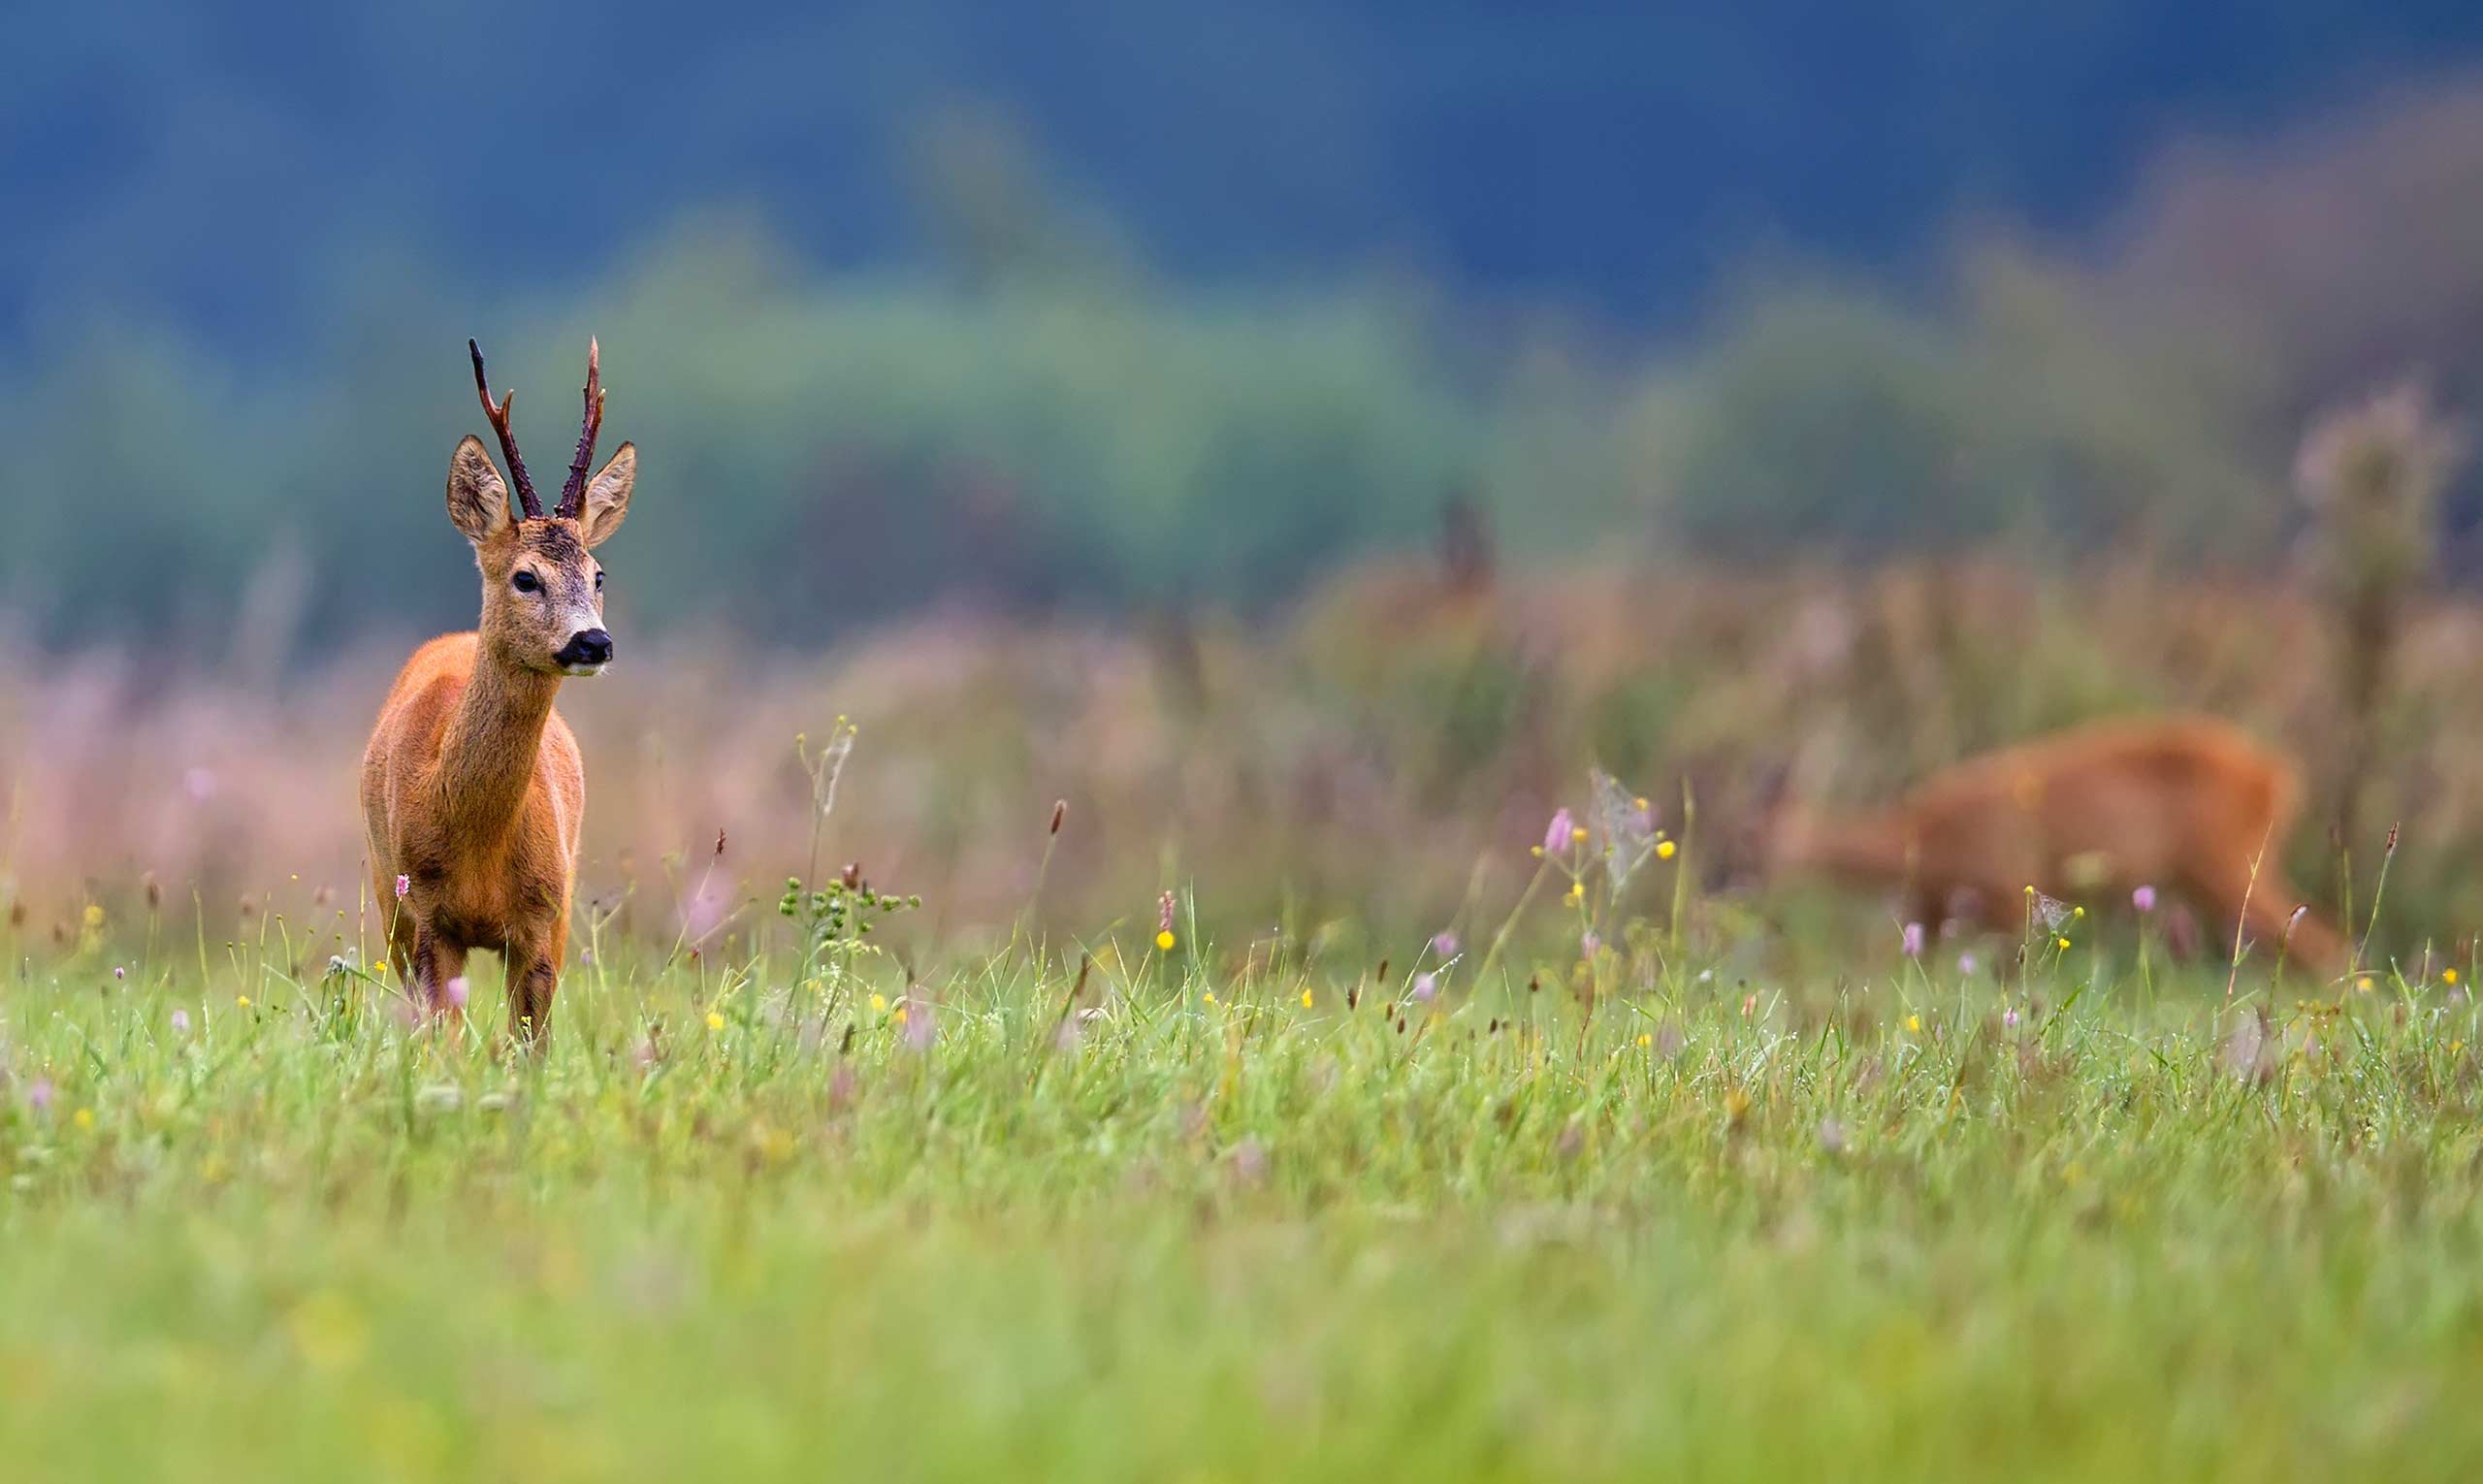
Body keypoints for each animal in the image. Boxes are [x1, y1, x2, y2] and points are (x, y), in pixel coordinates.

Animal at [367, 342, 645, 1042]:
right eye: (525, 577)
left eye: (598, 574)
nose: (593, 642)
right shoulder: (428, 917)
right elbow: (443, 1039)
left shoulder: (546, 917)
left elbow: (530, 1043)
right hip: (385, 898)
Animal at [1767, 719, 2343, 978]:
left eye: (1754, 834)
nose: (1744, 877)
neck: (1920, 834)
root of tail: (2280, 776)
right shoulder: (1932, 908)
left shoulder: (2003, 886)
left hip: (2226, 865)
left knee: (2320, 943)